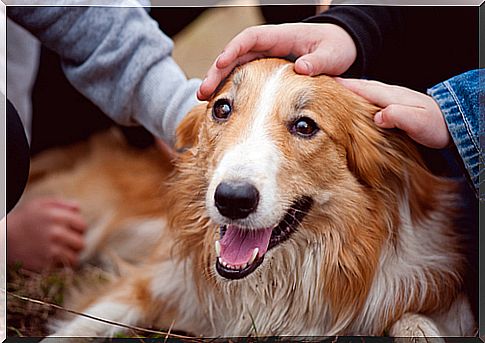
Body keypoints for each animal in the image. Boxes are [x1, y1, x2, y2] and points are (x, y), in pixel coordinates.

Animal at [24, 59, 474, 338]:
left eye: (305, 126)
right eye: (222, 108)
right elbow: (81, 327)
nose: (232, 200)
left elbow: (414, 319)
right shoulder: (152, 279)